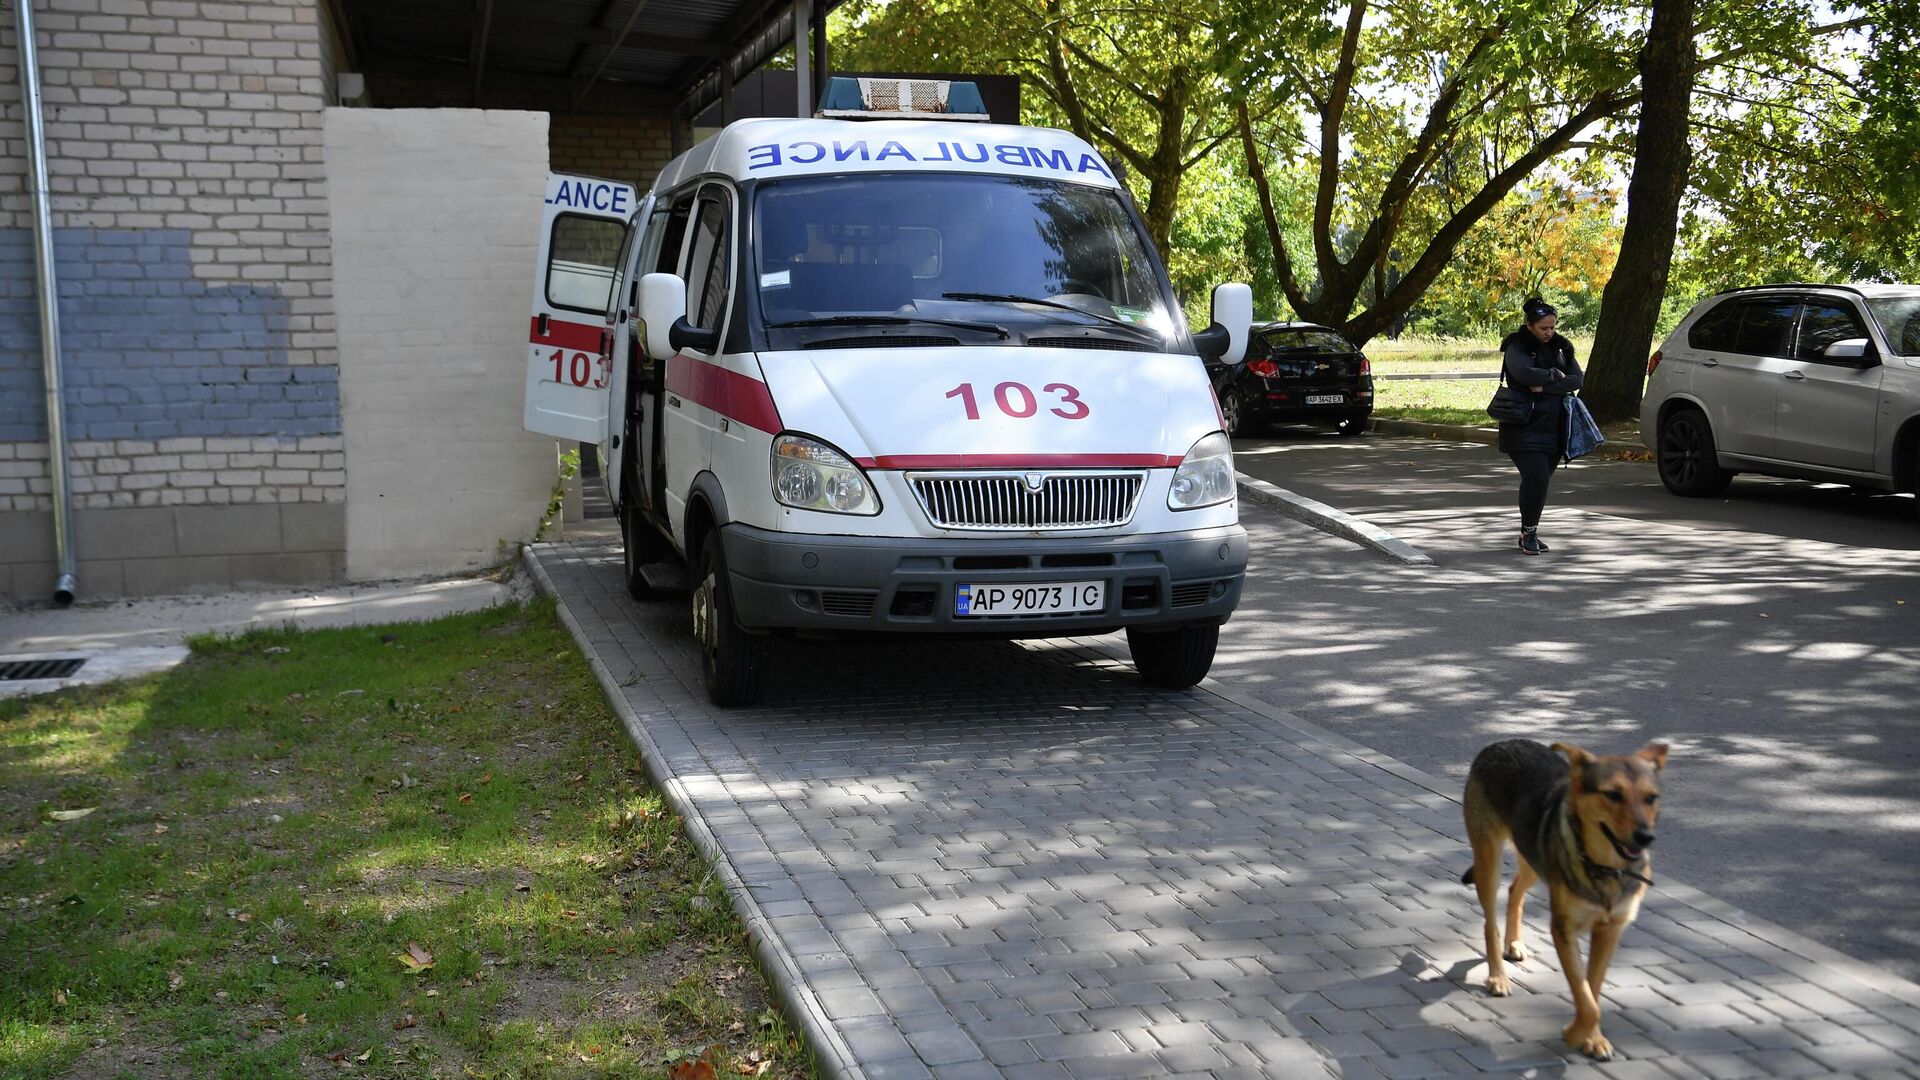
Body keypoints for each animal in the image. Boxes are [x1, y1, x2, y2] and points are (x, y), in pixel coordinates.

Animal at [1466, 734, 1666, 1053]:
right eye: (1612, 794)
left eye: (1650, 798)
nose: (1645, 837)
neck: (1606, 868)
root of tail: (1502, 742)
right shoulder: (1563, 930)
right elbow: (1585, 996)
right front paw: (1575, 1033)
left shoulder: (1611, 930)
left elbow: (1592, 990)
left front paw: (1591, 1038)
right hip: (1489, 862)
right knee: (1489, 923)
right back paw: (1497, 976)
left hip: (1533, 859)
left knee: (1514, 891)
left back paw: (1515, 943)